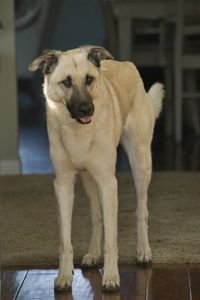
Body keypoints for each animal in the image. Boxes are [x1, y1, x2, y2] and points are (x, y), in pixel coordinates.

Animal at [29, 45, 164, 292]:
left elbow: (111, 239)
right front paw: (64, 276)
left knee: (141, 210)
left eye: (89, 79)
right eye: (67, 82)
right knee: (96, 216)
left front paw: (111, 277)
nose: (87, 109)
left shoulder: (108, 182)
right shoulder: (63, 184)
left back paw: (143, 251)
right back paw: (93, 254)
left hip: (140, 164)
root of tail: (125, 63)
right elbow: (65, 239)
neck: (77, 132)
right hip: (88, 180)